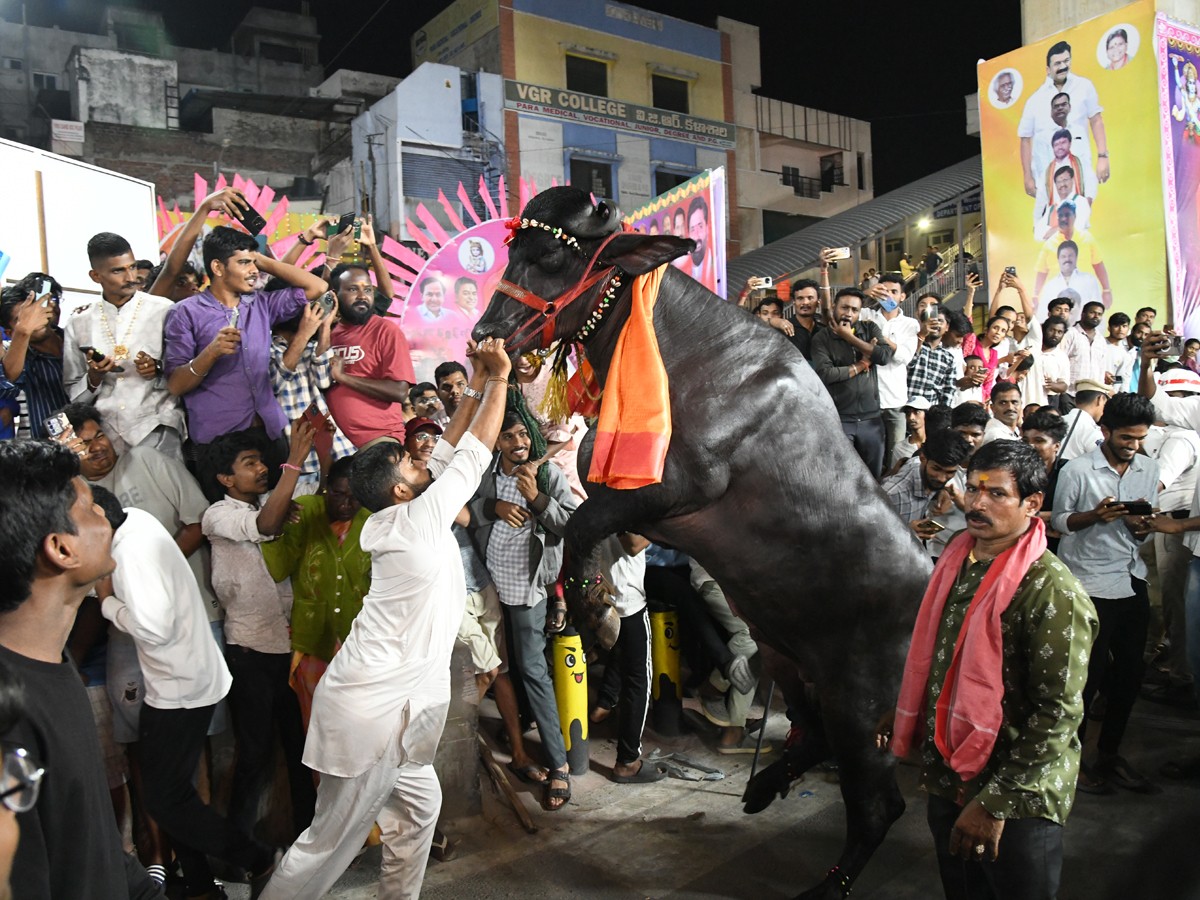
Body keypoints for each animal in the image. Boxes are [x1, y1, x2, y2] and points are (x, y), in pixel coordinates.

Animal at [472, 187, 931, 897]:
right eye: (513, 249)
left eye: (551, 255)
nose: (481, 337)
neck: (679, 350)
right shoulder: (638, 506)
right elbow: (584, 524)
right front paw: (583, 608)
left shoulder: (681, 486)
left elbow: (579, 526)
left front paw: (594, 612)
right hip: (788, 657)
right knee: (811, 735)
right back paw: (765, 786)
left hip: (862, 705)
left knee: (880, 804)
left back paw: (828, 881)